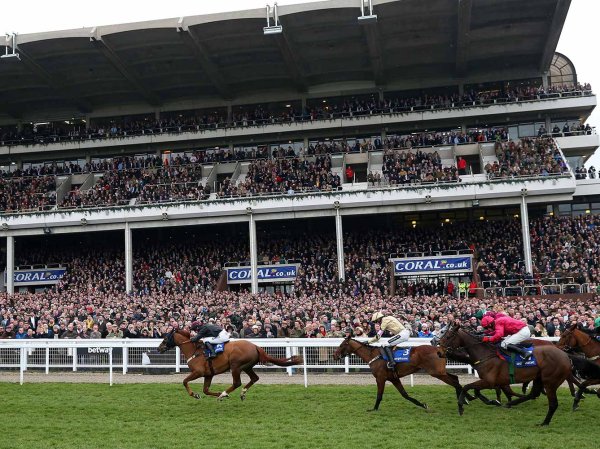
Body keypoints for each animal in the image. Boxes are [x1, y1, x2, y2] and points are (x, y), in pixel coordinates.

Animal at [158, 328, 302, 400]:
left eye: (165, 338)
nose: (159, 348)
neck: (195, 350)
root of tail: (255, 346)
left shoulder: (198, 372)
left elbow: (184, 381)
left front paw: (195, 395)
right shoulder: (208, 374)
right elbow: (206, 390)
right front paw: (216, 394)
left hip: (235, 366)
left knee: (237, 383)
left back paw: (224, 393)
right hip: (247, 366)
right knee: (254, 378)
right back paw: (241, 393)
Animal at [332, 336, 478, 410]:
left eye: (342, 344)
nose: (335, 355)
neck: (373, 355)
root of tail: (440, 349)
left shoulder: (380, 378)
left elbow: (379, 395)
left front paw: (374, 408)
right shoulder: (394, 378)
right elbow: (405, 395)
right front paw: (422, 404)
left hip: (437, 373)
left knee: (455, 382)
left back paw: (468, 398)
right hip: (440, 371)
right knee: (456, 378)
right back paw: (465, 399)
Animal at [438, 322, 576, 424]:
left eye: (448, 336)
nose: (439, 352)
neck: (485, 354)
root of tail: (564, 354)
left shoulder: (489, 381)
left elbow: (466, 387)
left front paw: (461, 406)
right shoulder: (491, 382)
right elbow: (476, 391)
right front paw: (493, 401)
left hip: (550, 381)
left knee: (552, 402)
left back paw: (544, 421)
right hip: (539, 378)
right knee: (533, 394)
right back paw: (511, 403)